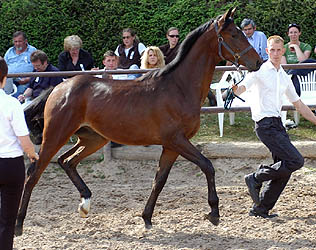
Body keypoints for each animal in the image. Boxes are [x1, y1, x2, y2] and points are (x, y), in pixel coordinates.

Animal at [15, 7, 262, 234]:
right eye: (234, 35)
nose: (258, 62)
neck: (178, 87)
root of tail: (60, 87)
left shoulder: (171, 146)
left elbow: (159, 181)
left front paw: (147, 218)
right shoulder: (177, 140)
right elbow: (208, 166)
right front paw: (214, 213)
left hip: (93, 139)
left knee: (66, 161)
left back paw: (85, 203)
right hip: (55, 135)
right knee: (34, 173)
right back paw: (18, 225)